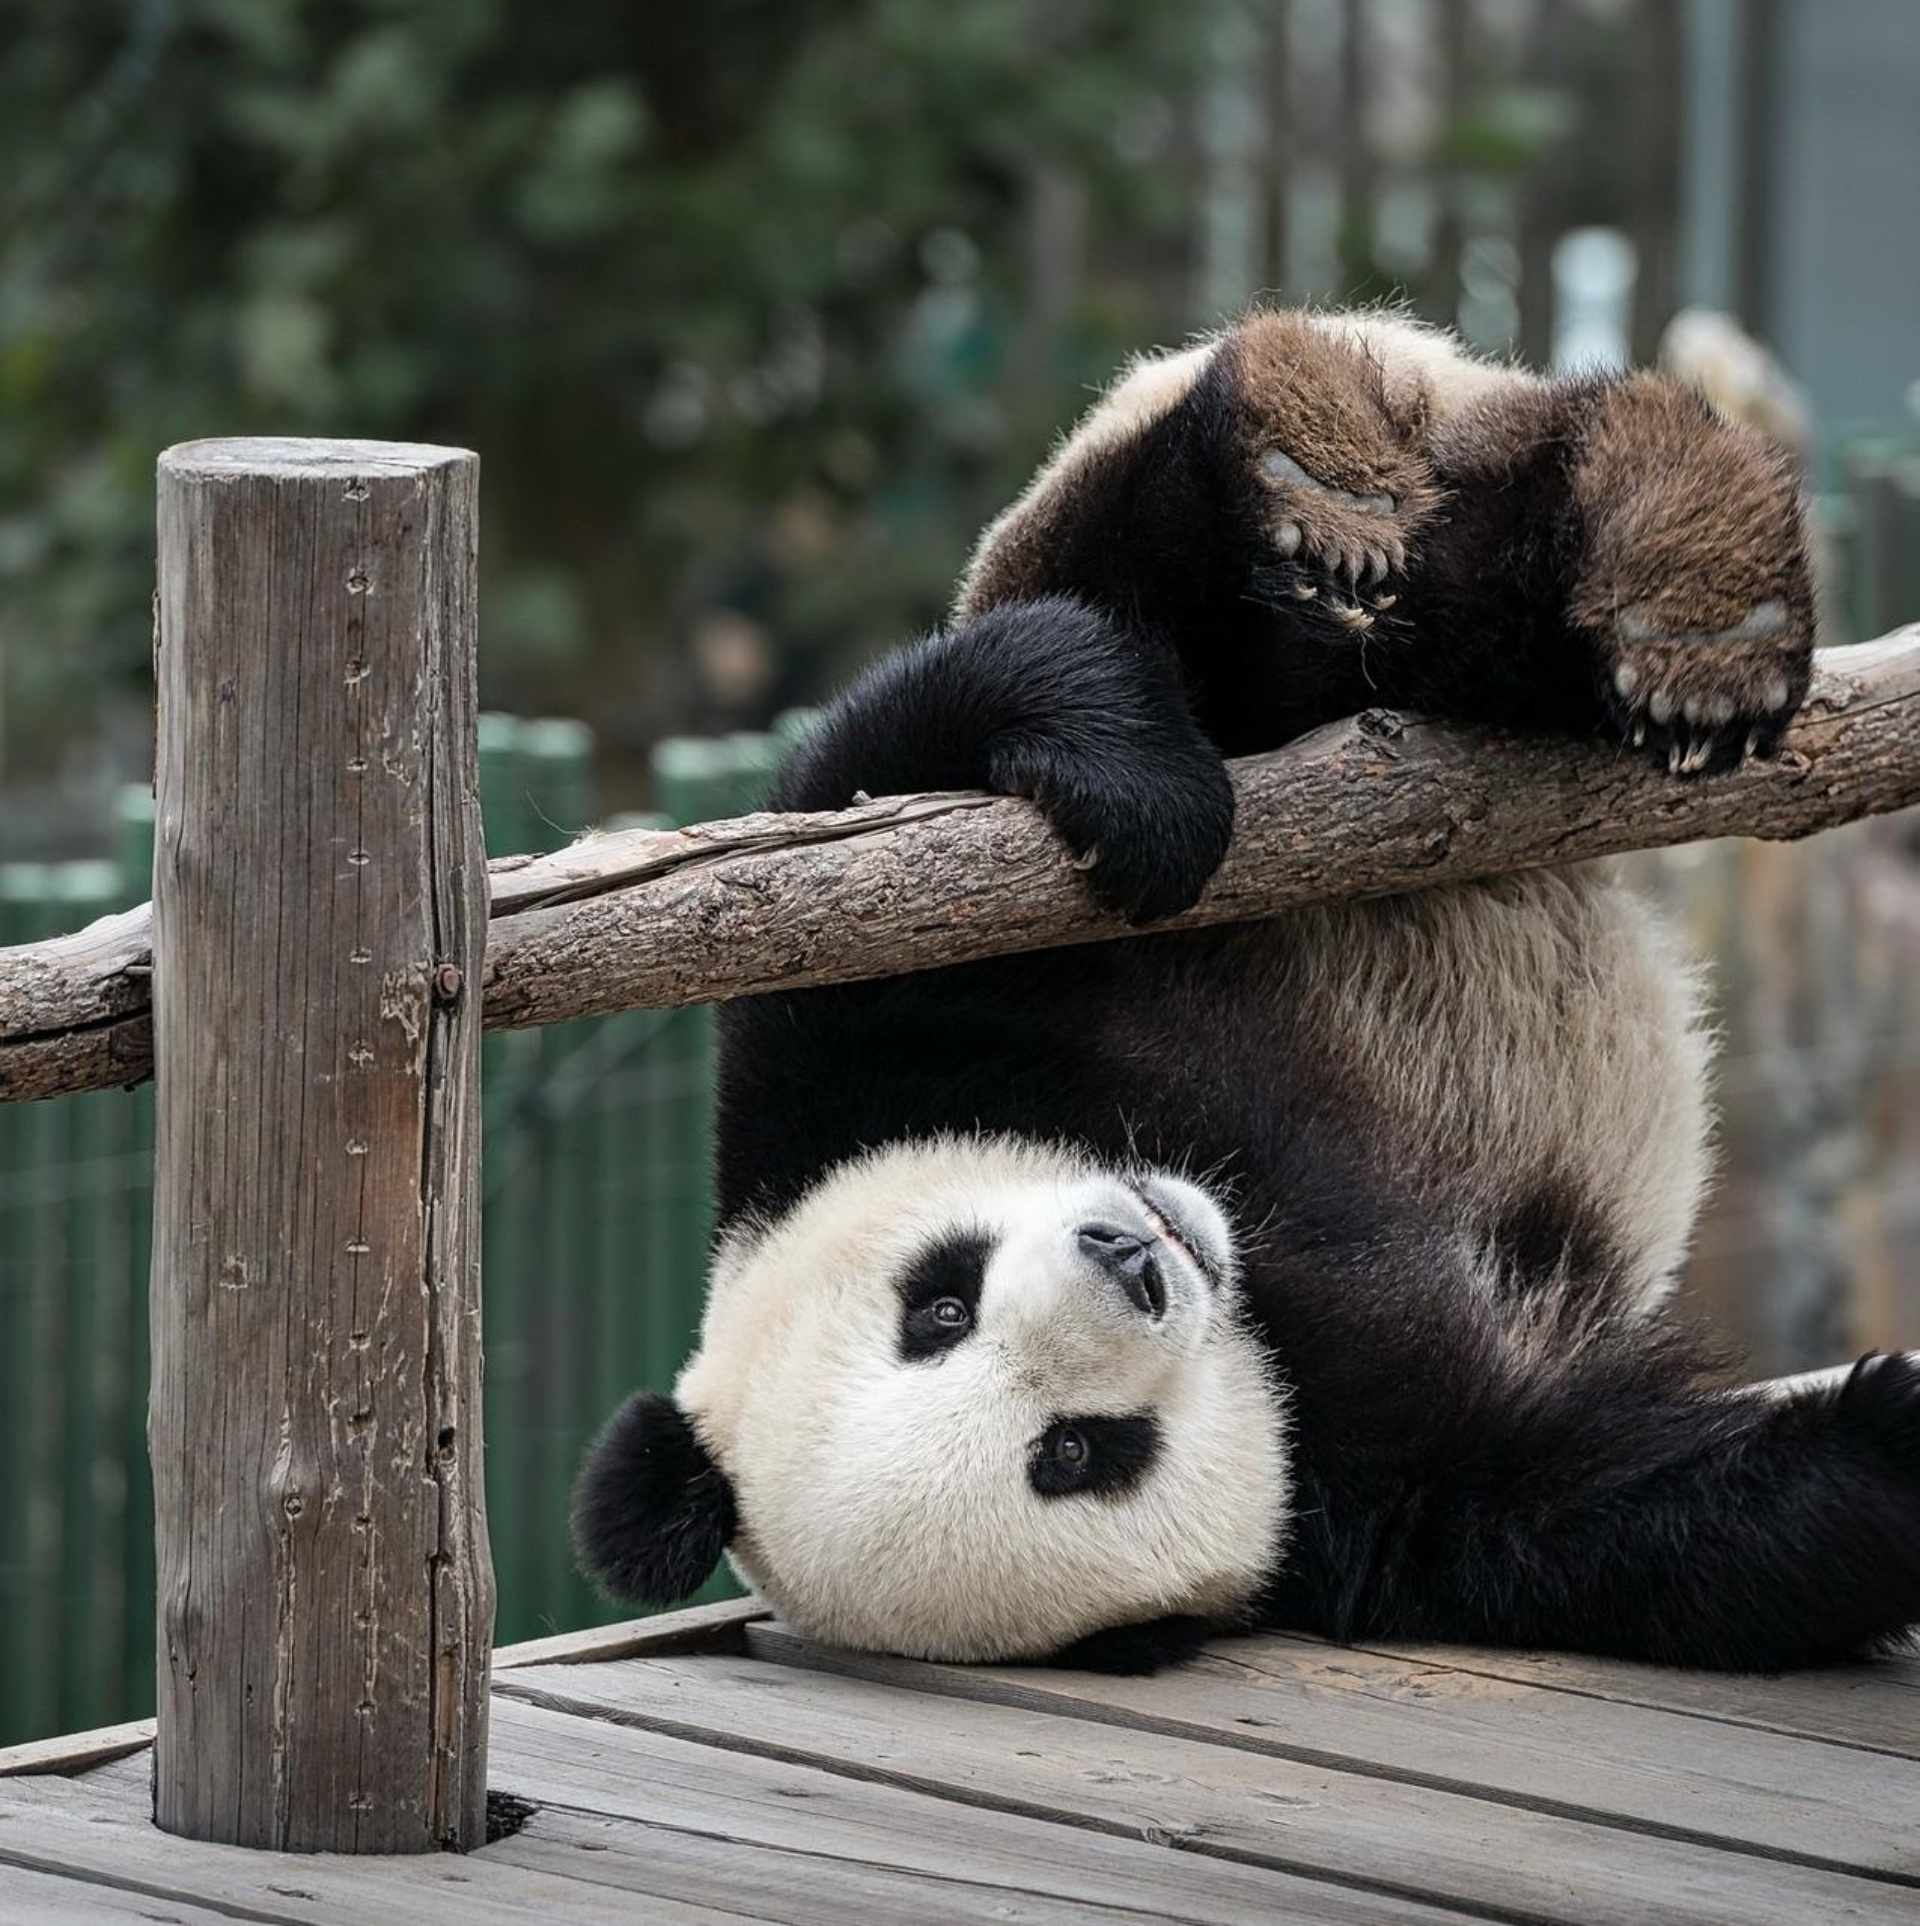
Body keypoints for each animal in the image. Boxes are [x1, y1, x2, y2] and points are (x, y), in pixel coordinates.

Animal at [570, 300, 1918, 1671]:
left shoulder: (839, 1053)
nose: (1131, 1255)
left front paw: (1144, 798)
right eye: (1076, 1454)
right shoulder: (1363, 1504)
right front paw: (1886, 1443)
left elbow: (896, 766)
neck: (1247, 1251)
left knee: (1221, 589)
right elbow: (1632, 1517)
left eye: (937, 1304)